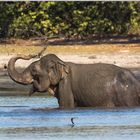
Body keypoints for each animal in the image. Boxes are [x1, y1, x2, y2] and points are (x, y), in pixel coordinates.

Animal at [7, 53, 140, 109]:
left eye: (34, 70)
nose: (31, 55)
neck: (62, 63)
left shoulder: (66, 86)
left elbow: (66, 105)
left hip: (126, 97)